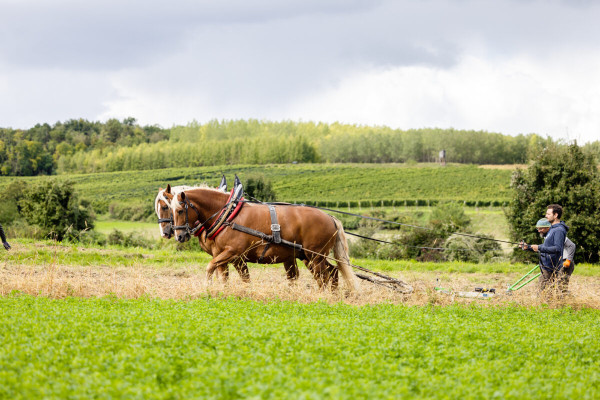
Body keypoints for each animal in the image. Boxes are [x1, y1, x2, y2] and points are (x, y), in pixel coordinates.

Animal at [169, 186, 356, 290]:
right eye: (170, 210)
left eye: (180, 210)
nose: (179, 236)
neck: (228, 215)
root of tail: (330, 217)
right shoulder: (227, 257)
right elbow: (229, 277)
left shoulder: (232, 253)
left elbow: (210, 268)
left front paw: (207, 288)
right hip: (309, 256)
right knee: (333, 272)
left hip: (315, 256)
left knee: (323, 277)